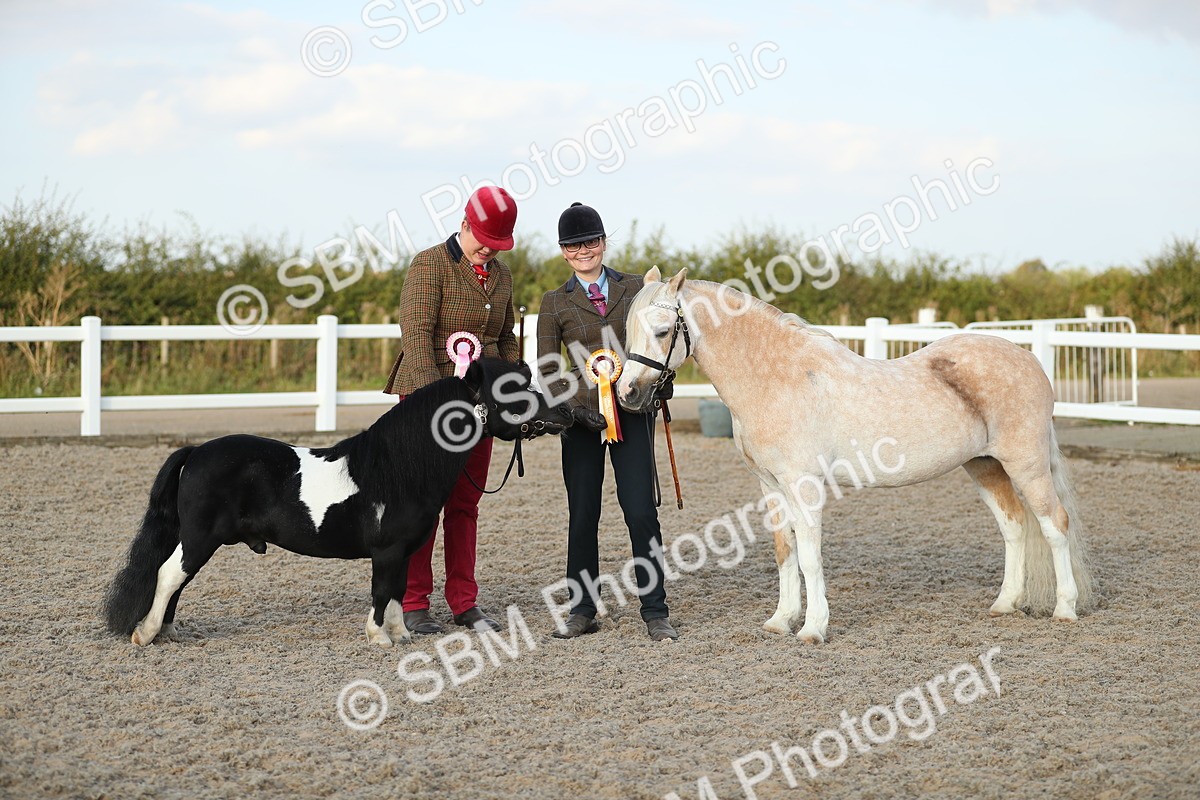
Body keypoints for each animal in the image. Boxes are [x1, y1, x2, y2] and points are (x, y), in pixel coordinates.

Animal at [102, 358, 573, 648]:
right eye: (512, 388)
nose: (566, 414)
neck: (398, 466)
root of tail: (196, 451)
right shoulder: (386, 550)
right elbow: (382, 590)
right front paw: (378, 637)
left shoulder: (404, 550)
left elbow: (397, 591)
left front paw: (400, 635)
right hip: (200, 537)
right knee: (169, 574)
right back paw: (146, 634)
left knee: (176, 580)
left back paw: (167, 632)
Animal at [616, 268, 1094, 644]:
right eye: (629, 331)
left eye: (663, 331)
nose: (628, 394)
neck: (778, 378)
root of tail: (1028, 360)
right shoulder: (770, 486)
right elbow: (784, 551)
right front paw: (780, 621)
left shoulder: (804, 485)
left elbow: (810, 556)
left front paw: (813, 629)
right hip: (985, 466)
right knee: (1013, 526)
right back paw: (1004, 604)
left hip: (1026, 465)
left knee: (1055, 525)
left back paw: (1065, 609)